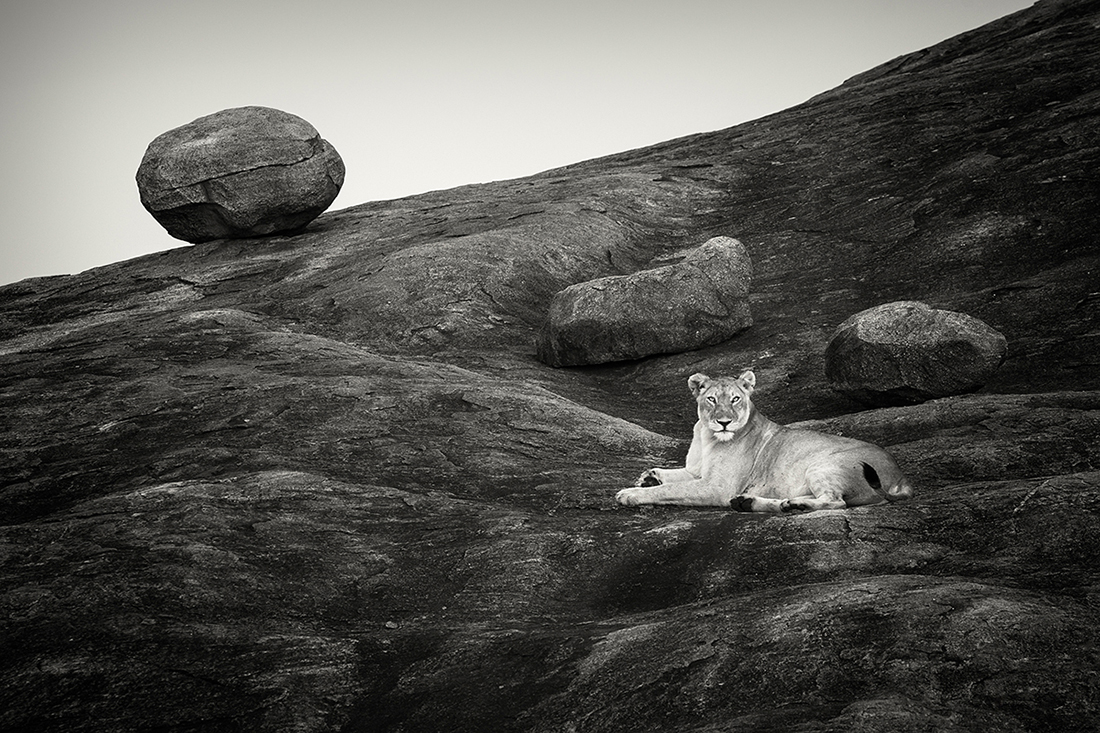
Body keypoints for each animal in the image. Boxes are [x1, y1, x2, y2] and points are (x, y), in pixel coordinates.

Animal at [615, 371, 913, 512]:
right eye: (711, 399)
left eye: (735, 399)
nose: (724, 422)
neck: (706, 436)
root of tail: (901, 479)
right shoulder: (697, 471)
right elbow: (674, 475)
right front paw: (649, 477)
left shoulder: (717, 487)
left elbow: (670, 490)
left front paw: (631, 493)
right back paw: (761, 503)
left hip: (823, 464)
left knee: (836, 501)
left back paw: (792, 505)